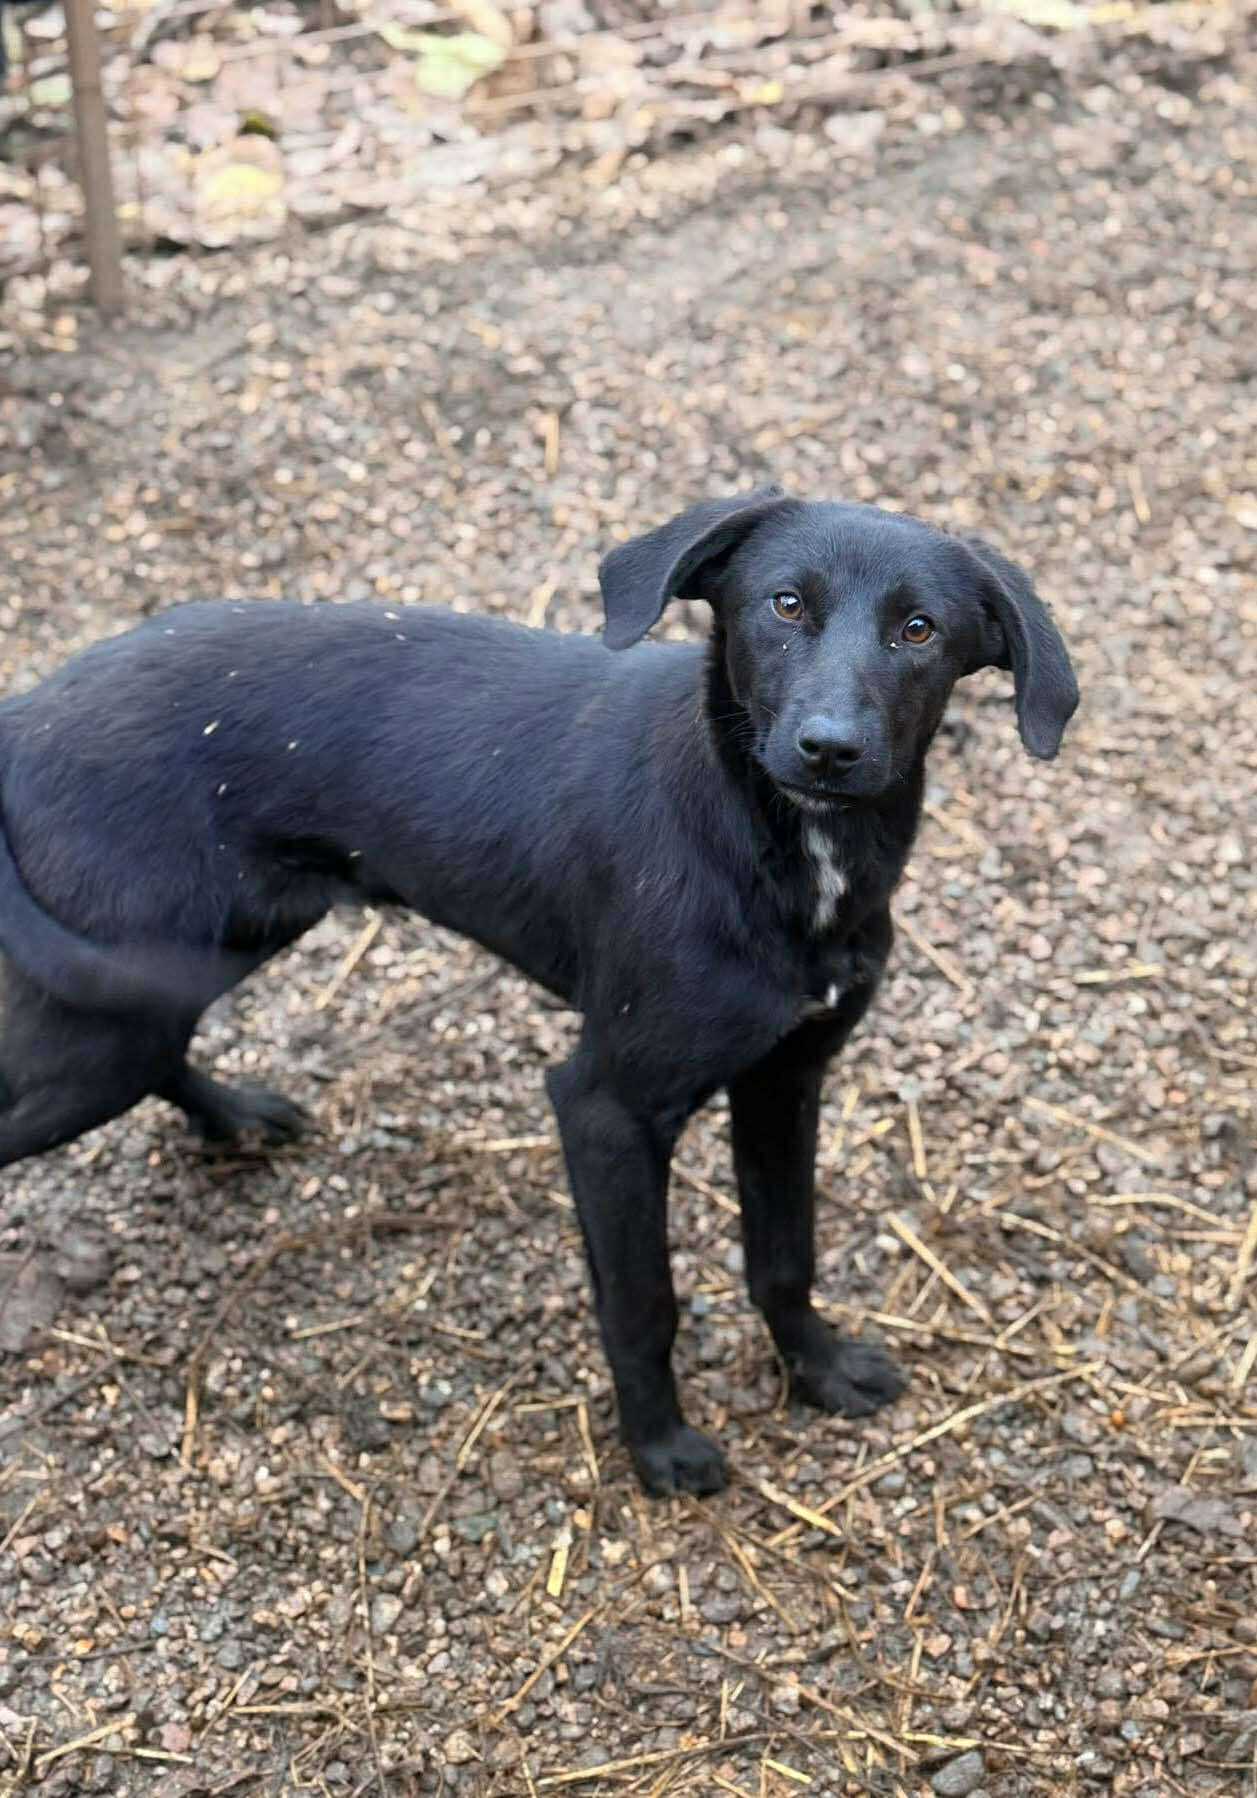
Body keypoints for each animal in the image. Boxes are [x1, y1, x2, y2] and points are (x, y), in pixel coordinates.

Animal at [0, 489, 1078, 1493]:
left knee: (166, 1043)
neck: (778, 849)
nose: (829, 748)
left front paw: (815, 1369)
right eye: (784, 604)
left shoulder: (785, 1079)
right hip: (111, 1012)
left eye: (918, 629)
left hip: (200, 952)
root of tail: (22, 717)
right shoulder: (605, 1109)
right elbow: (644, 1301)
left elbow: (784, 1254)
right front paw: (659, 1447)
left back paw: (234, 1117)